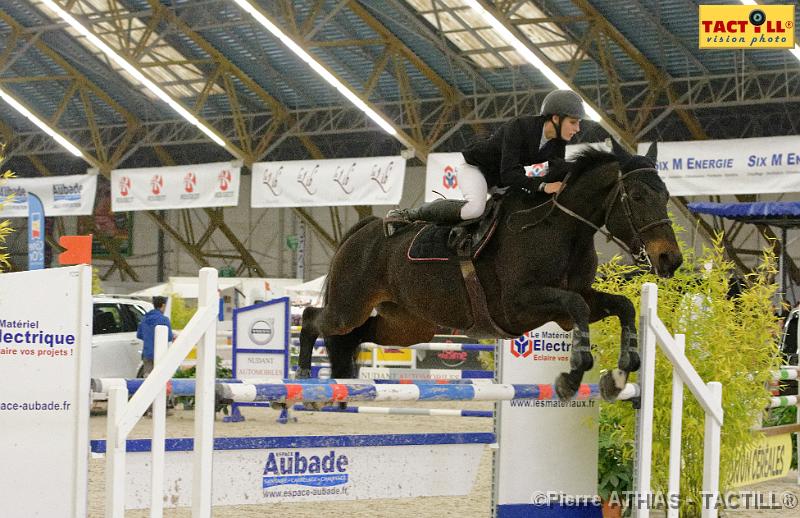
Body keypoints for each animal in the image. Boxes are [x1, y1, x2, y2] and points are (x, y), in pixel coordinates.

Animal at [296, 141, 684, 402]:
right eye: (637, 197)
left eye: (666, 196)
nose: (670, 260)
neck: (561, 228)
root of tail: (364, 229)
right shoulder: (519, 304)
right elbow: (576, 306)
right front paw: (572, 377)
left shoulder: (574, 303)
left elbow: (623, 306)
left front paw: (618, 376)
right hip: (350, 306)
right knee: (315, 318)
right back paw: (302, 375)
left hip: (407, 325)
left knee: (354, 337)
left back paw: (337, 384)